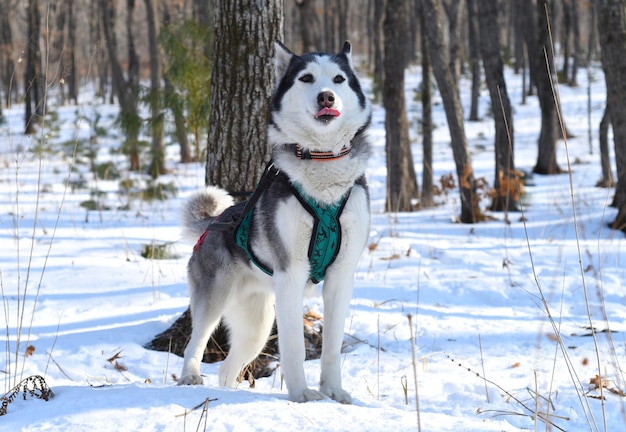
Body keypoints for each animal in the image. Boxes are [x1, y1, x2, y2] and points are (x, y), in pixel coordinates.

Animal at [178, 42, 368, 404]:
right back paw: (189, 376)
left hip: (257, 323)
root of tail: (213, 223)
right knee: (194, 343)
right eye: (306, 78)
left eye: (338, 79)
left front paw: (334, 391)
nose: (326, 97)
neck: (323, 165)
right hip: (215, 298)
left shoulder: (342, 275)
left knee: (228, 366)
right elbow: (293, 346)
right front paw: (301, 393)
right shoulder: (291, 273)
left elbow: (333, 346)